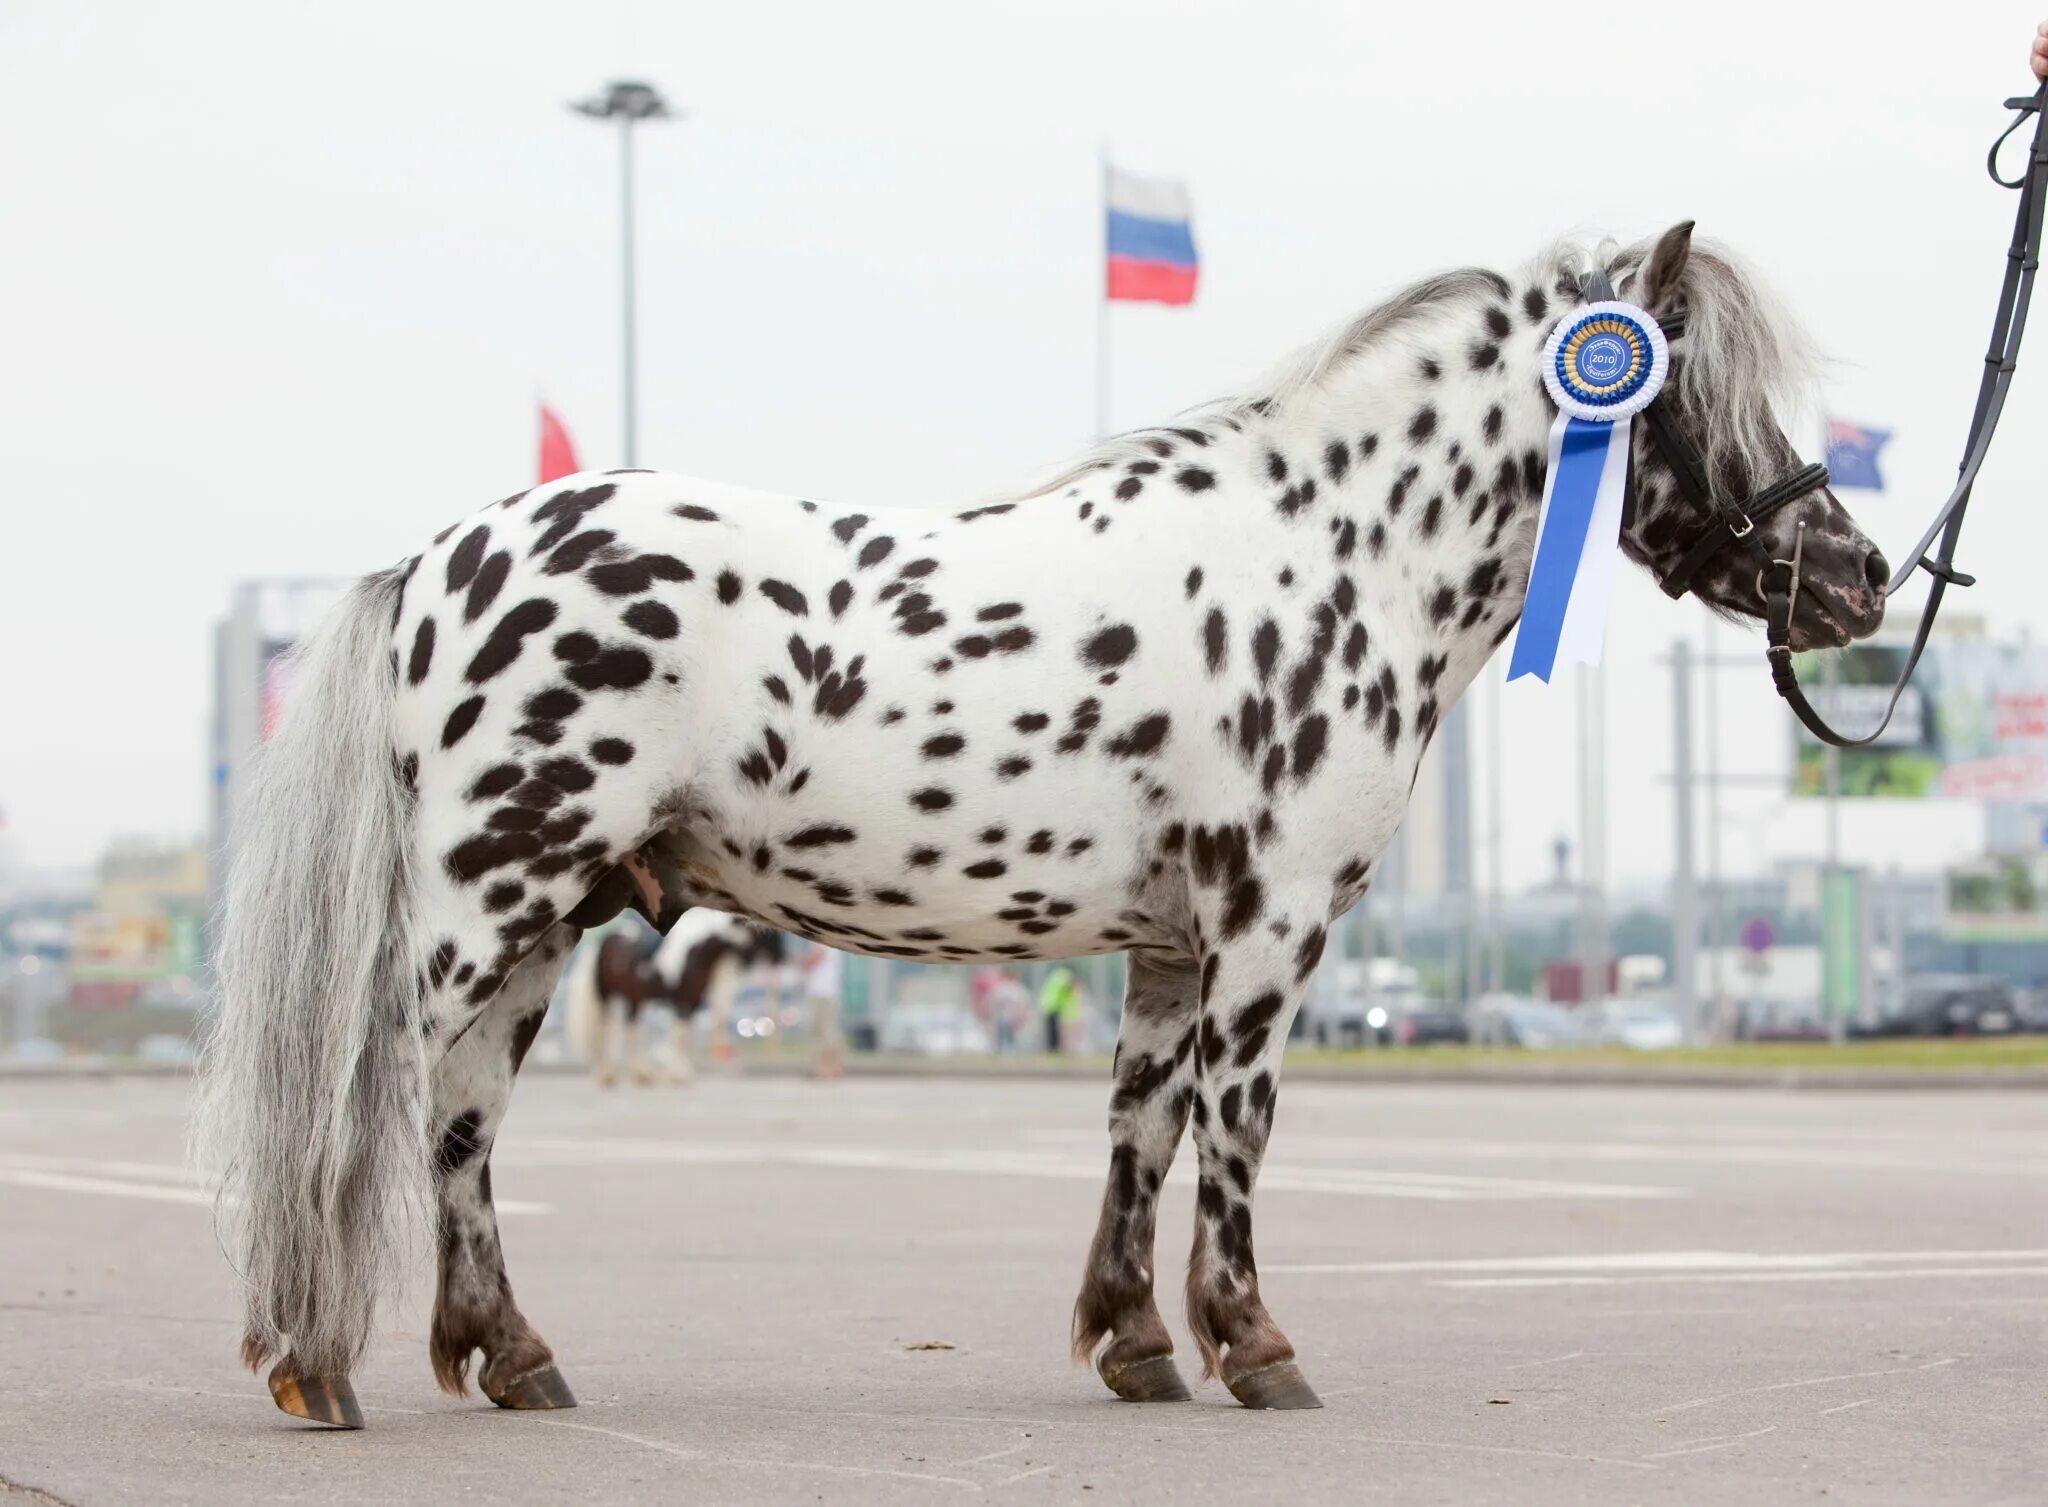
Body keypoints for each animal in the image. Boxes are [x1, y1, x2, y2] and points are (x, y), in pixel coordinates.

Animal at [565, 905, 786, 1081]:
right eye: (770, 932)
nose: (781, 957)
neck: (697, 950)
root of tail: (599, 945)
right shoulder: (681, 1001)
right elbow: (679, 1035)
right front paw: (679, 1075)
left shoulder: (692, 1002)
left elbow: (684, 1036)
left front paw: (679, 1072)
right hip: (606, 996)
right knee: (606, 1028)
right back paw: (607, 1074)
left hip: (635, 999)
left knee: (631, 1028)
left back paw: (640, 1072)